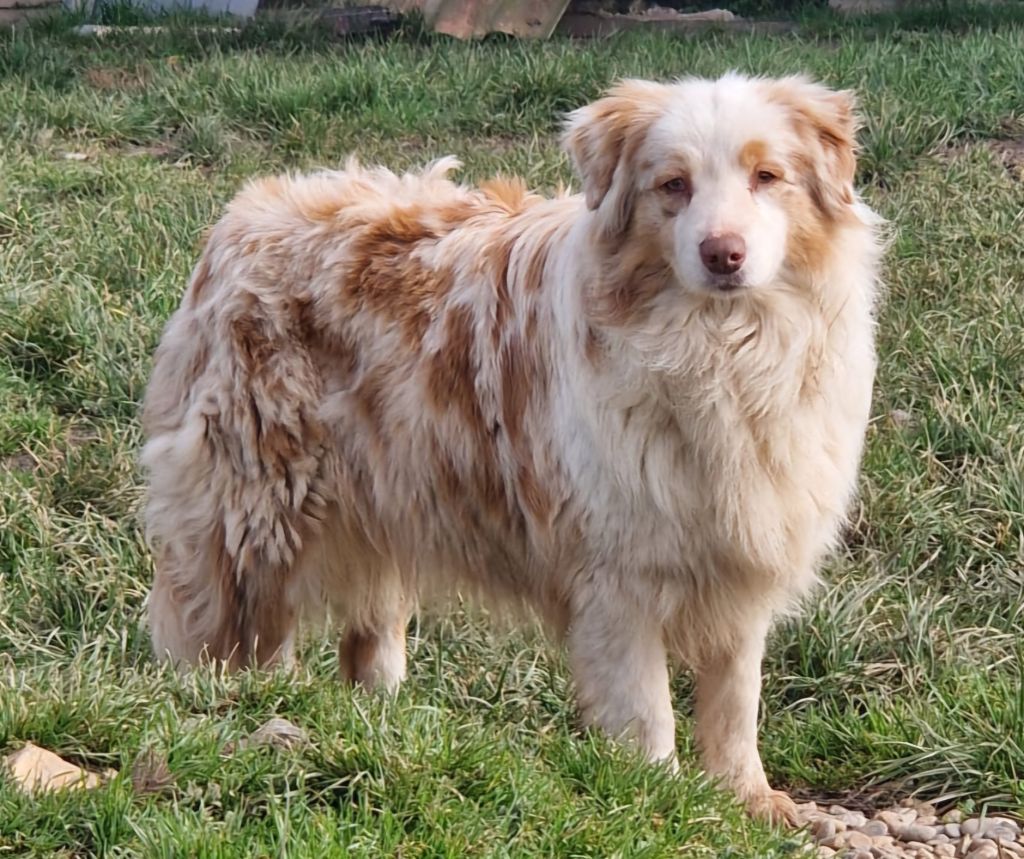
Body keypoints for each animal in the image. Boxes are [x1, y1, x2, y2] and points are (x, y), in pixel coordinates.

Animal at [140, 70, 884, 823]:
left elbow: (735, 701)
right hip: (258, 512)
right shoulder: (618, 575)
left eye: (767, 176)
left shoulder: (742, 550)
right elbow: (647, 711)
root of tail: (244, 211)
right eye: (673, 184)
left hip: (388, 497)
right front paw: (658, 800)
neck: (720, 350)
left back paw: (378, 724)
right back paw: (252, 704)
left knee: (368, 638)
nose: (723, 253)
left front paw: (749, 798)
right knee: (237, 635)